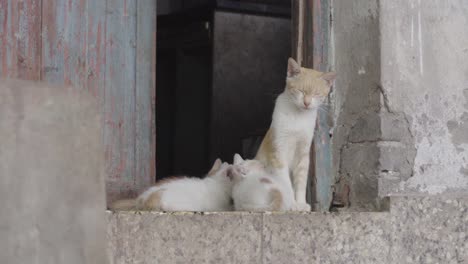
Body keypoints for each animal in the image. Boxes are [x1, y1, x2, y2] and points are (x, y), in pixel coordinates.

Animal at [254, 57, 334, 210]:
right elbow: (285, 182)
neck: (298, 116)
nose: (307, 103)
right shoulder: (278, 151)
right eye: (300, 91)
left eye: (316, 94)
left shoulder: (303, 153)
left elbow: (301, 182)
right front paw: (291, 204)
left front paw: (301, 203)